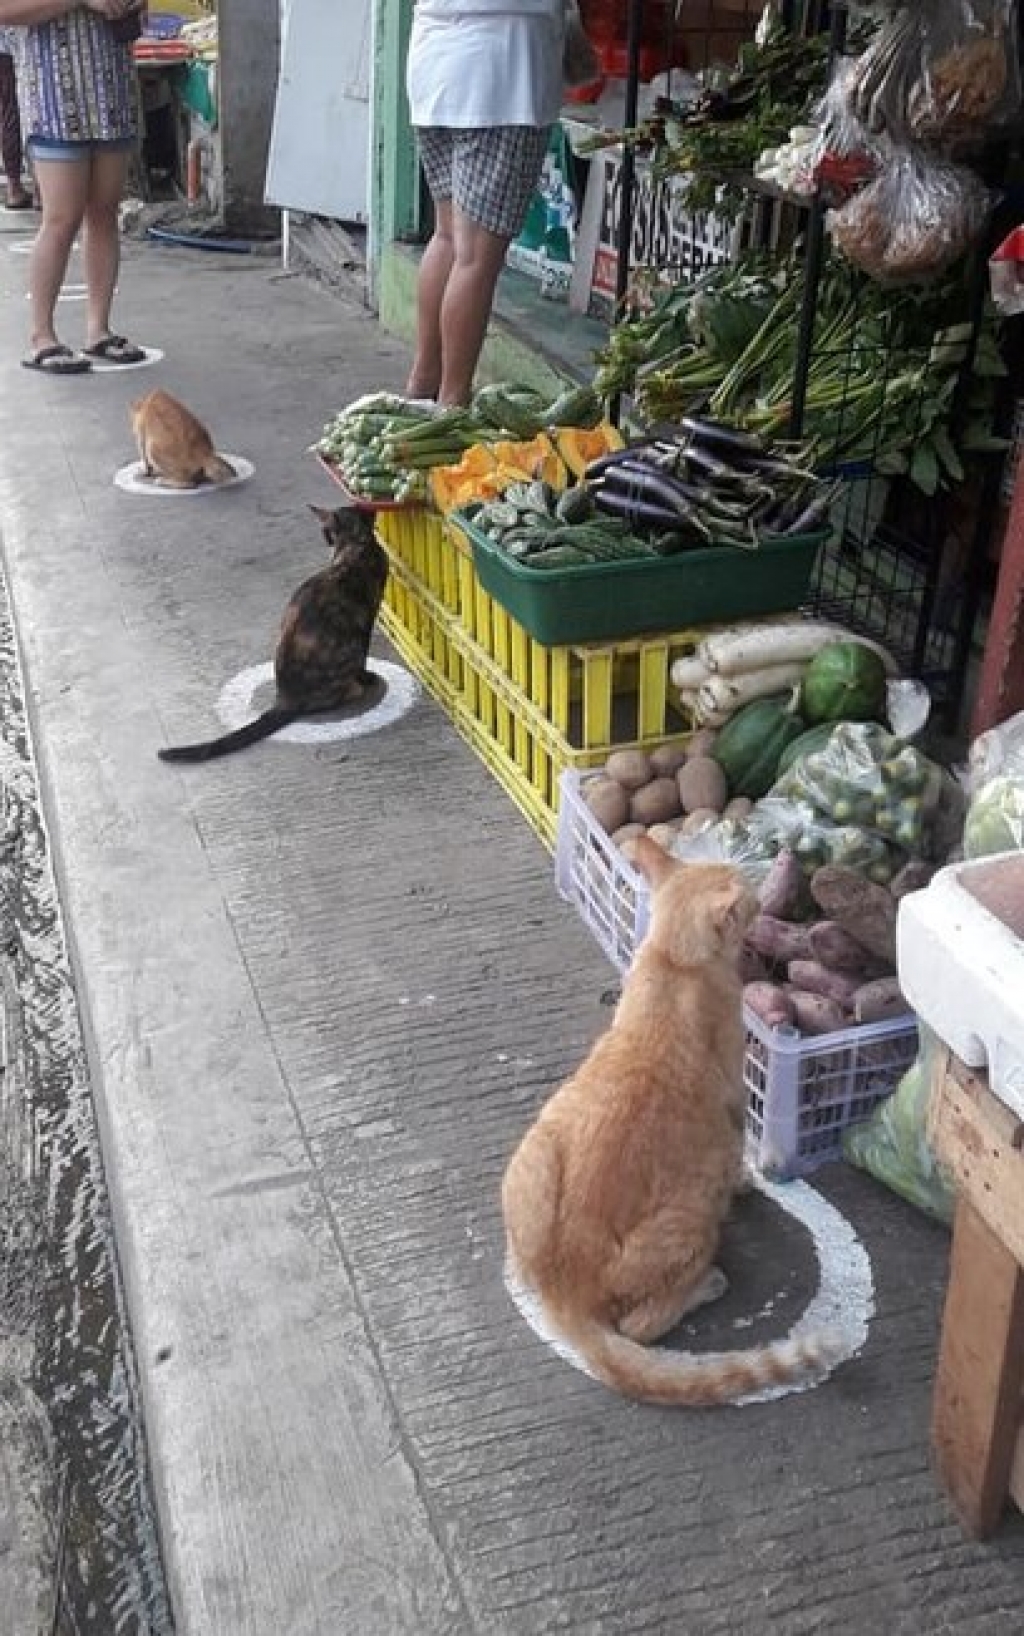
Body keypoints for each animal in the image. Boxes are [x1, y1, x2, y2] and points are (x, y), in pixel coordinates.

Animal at [159, 500, 386, 762]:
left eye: (326, 532)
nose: (327, 540)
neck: (352, 544)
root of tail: (284, 700)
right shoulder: (368, 617)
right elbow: (365, 656)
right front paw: (368, 676)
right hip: (349, 647)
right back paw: (356, 687)